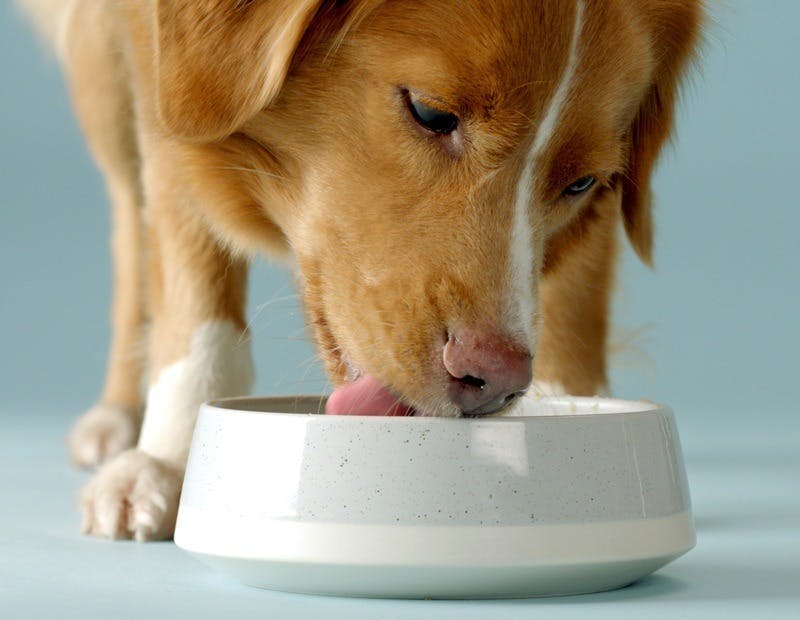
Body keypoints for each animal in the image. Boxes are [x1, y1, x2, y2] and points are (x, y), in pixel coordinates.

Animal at [20, 0, 700, 540]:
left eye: (581, 182)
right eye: (430, 112)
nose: (495, 381)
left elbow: (576, 290)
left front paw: (569, 421)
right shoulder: (153, 56)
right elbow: (190, 266)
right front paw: (171, 458)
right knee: (128, 216)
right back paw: (119, 413)